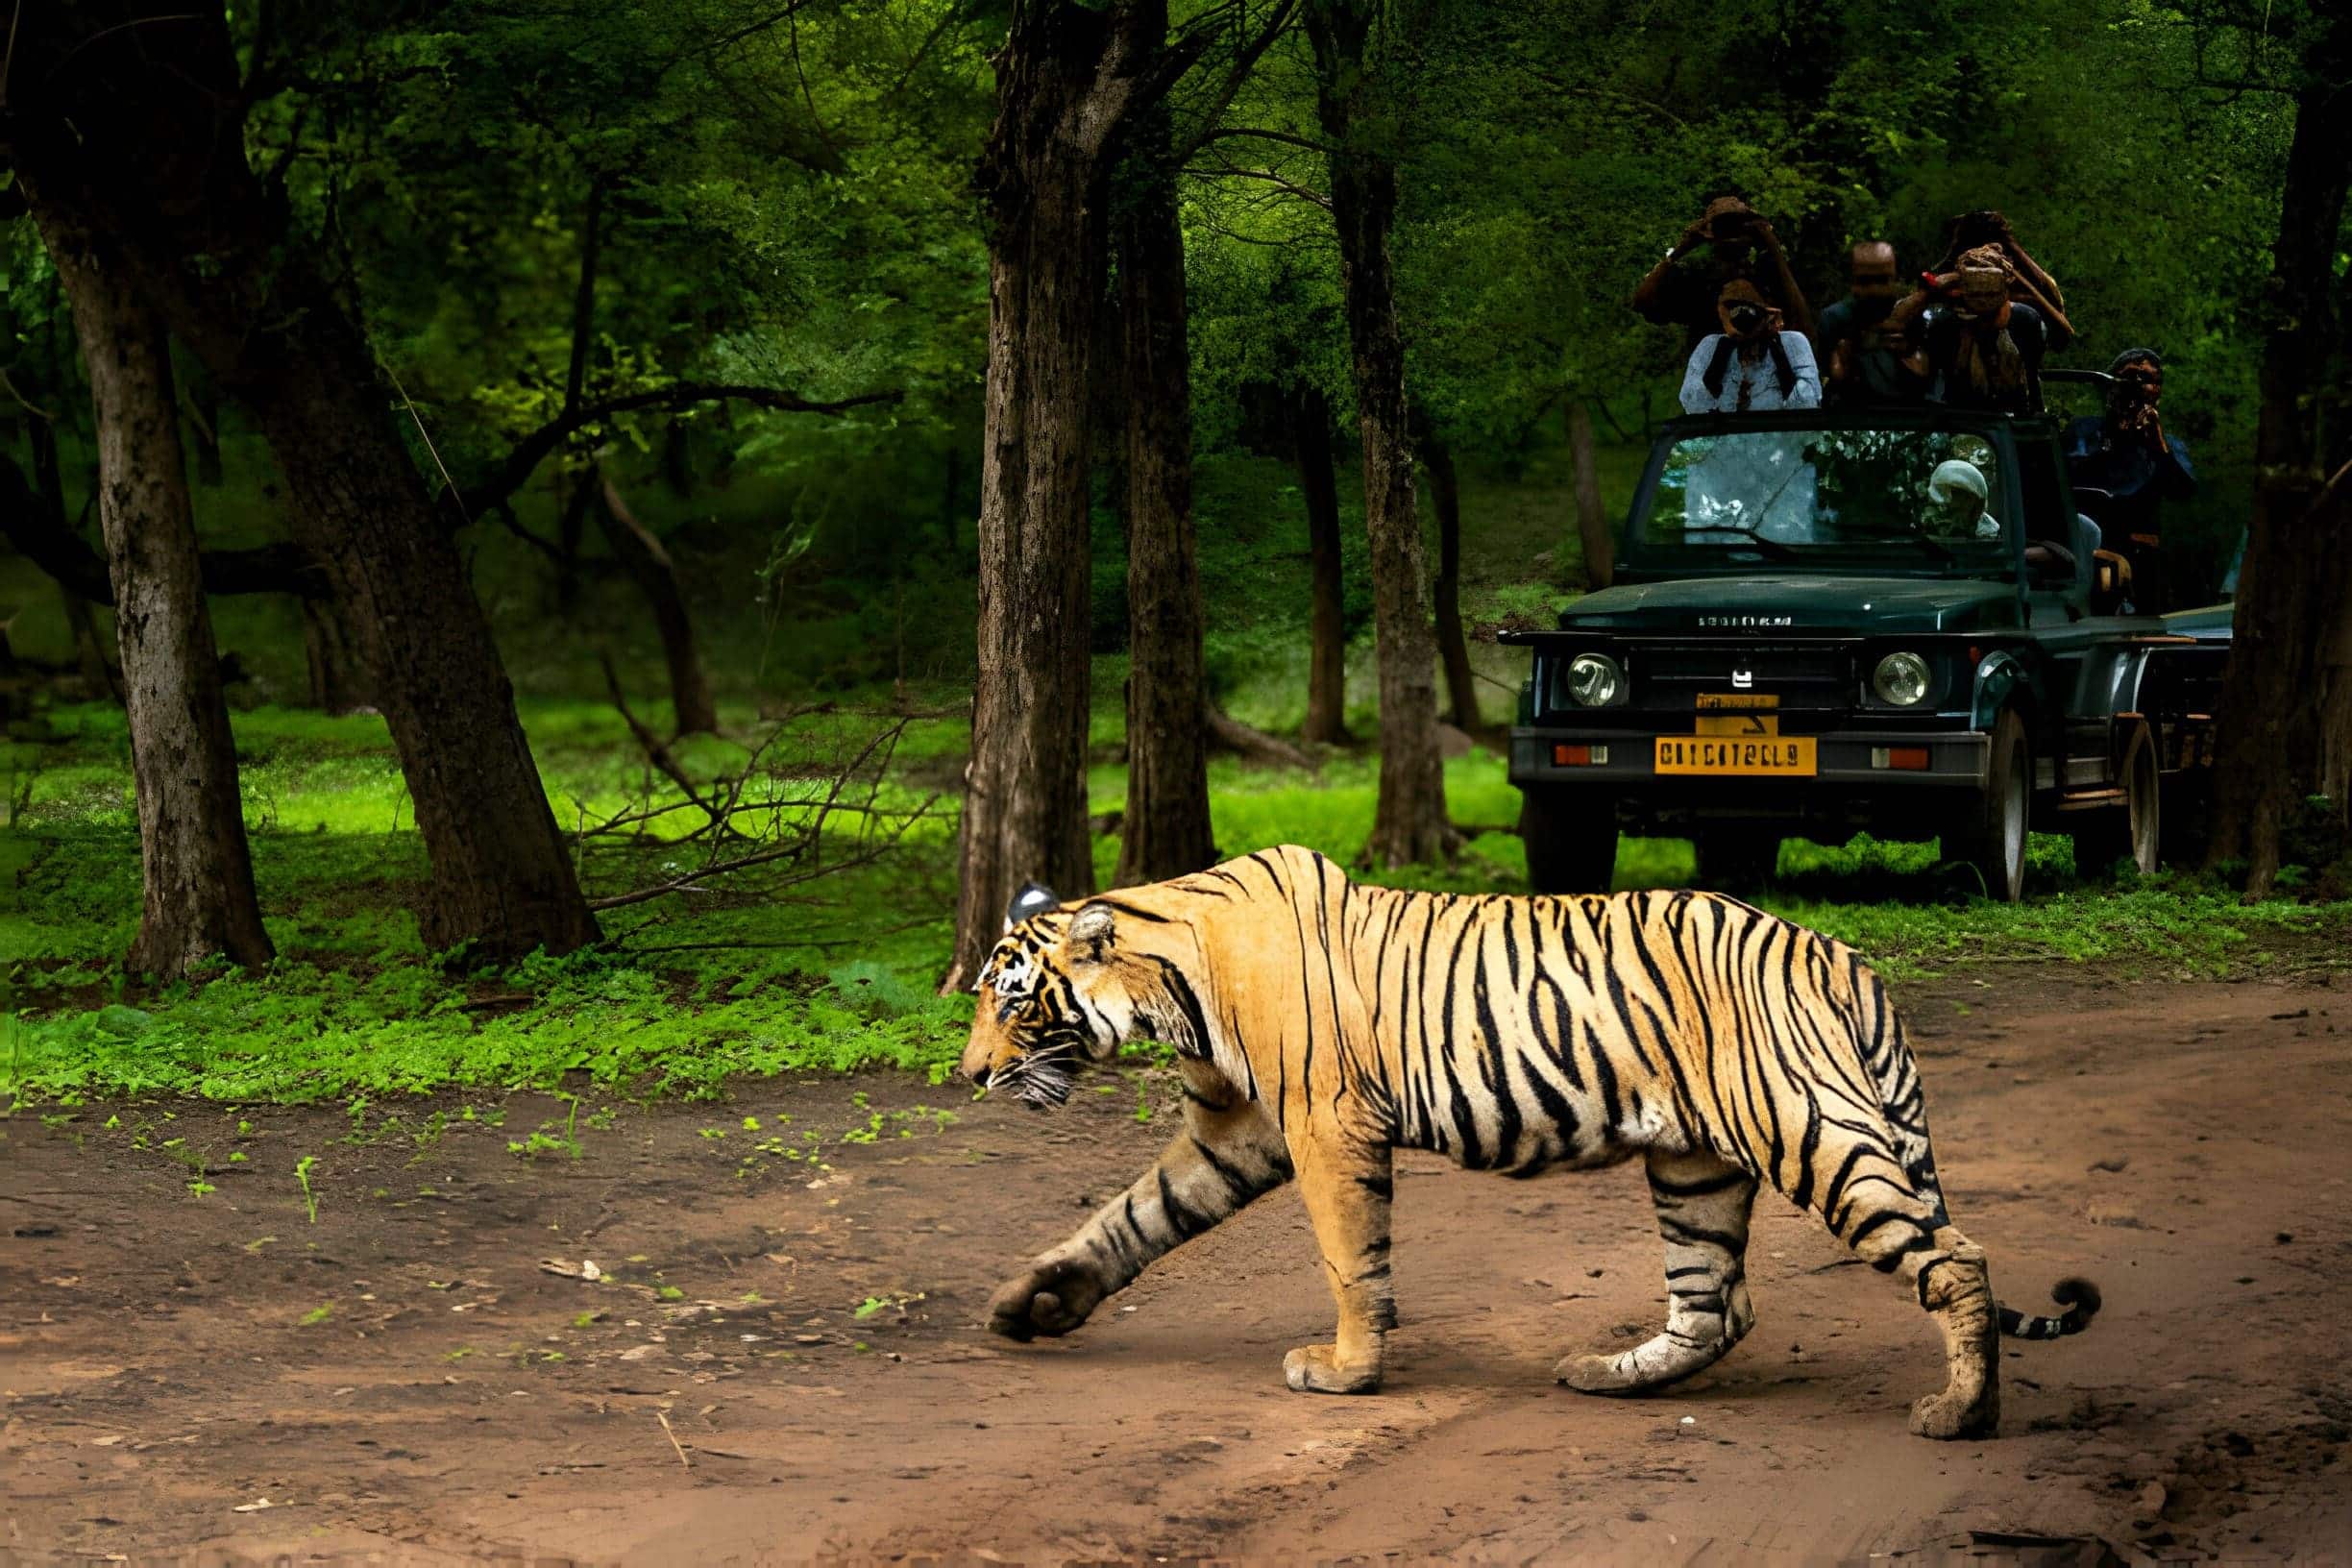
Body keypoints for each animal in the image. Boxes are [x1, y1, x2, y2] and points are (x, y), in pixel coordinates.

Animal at [960, 844, 2099, 1440]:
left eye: (1012, 1002)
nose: (971, 1075)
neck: (1169, 983)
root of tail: (1840, 953)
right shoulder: (1238, 1134)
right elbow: (1129, 1220)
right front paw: (1032, 1304)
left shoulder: (1324, 1125)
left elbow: (1347, 1258)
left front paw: (1346, 1373)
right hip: (1695, 1163)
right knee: (1716, 1305)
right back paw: (1608, 1375)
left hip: (1810, 1128)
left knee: (1954, 1258)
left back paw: (1961, 1411)